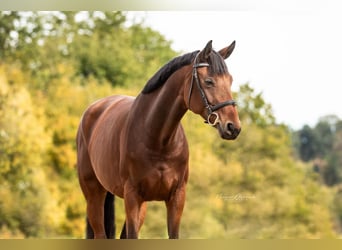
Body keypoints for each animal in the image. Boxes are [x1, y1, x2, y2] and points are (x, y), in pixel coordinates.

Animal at [75, 40, 240, 239]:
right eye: (209, 81)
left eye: (230, 81)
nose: (233, 127)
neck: (158, 140)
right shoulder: (132, 196)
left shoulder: (176, 197)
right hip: (94, 195)